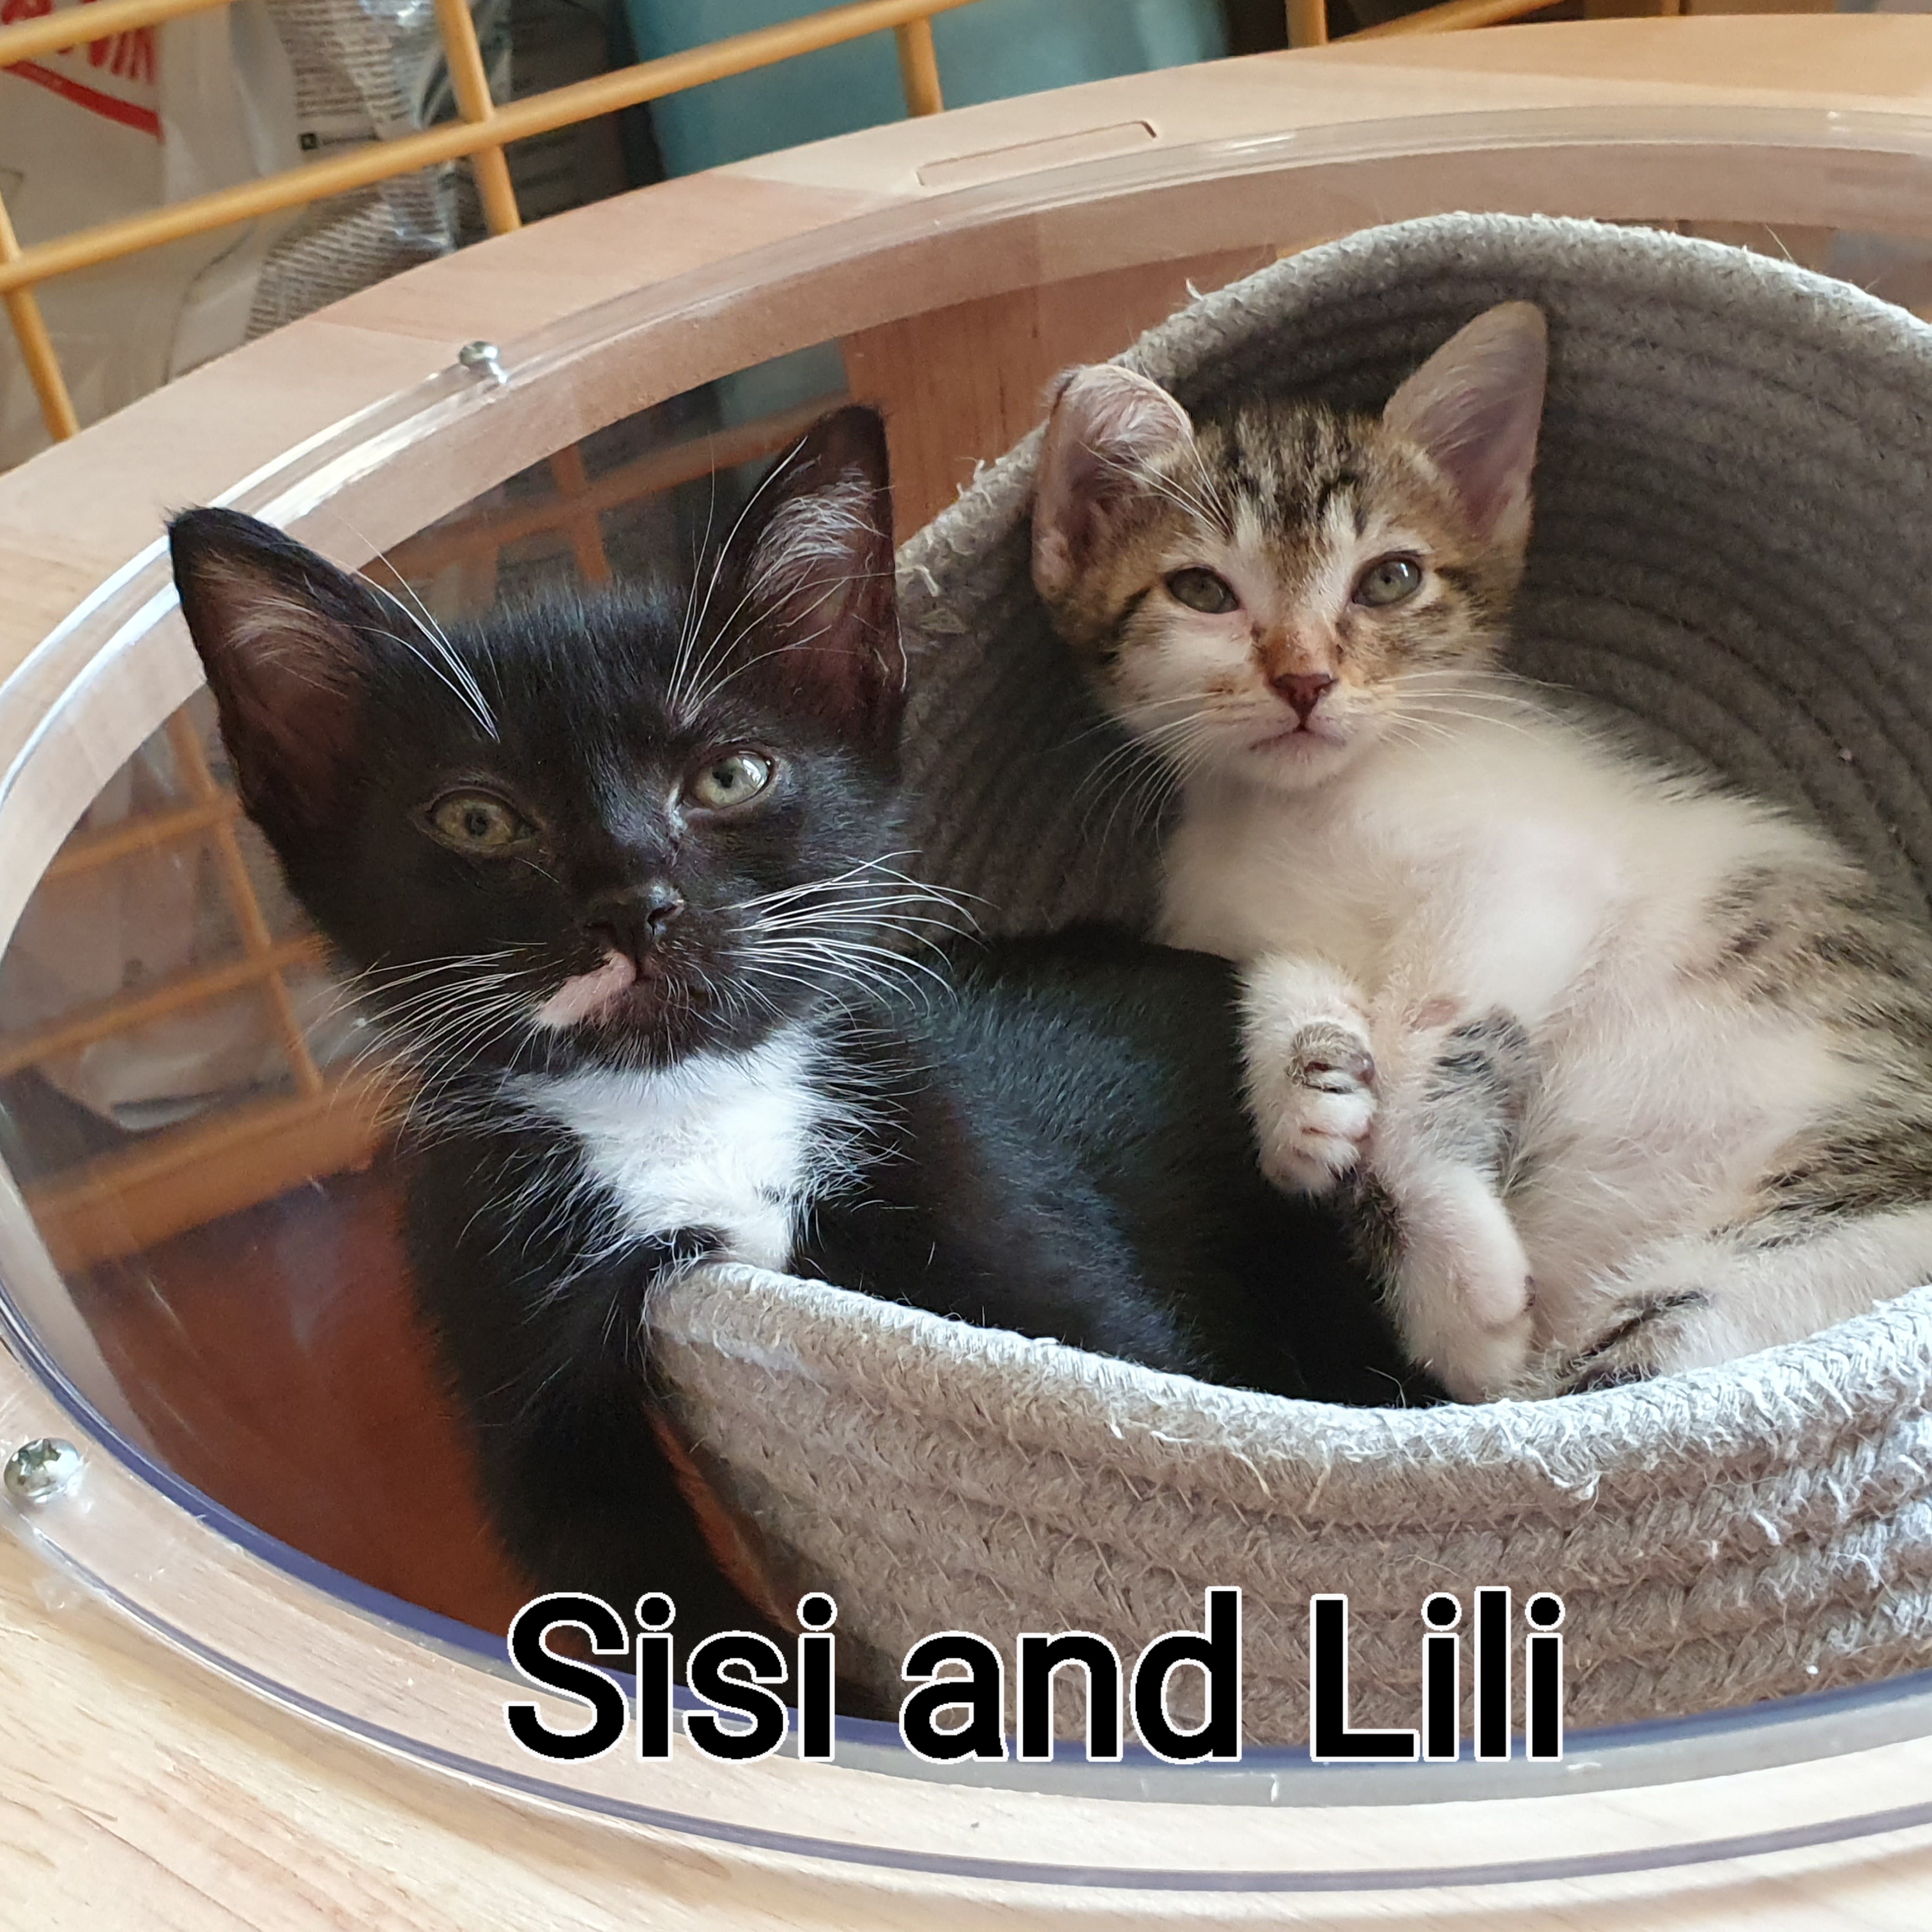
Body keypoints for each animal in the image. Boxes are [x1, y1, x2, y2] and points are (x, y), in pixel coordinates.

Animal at [168, 405, 1411, 1662]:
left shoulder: (981, 1182)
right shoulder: (499, 1292)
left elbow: (1127, 1376)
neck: (688, 1106)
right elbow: (608, 1566)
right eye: (476, 820)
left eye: (731, 774)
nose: (633, 905)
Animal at [1030, 301, 1932, 1404]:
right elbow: (1278, 975)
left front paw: (1457, 1288)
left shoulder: (1529, 867)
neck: (1301, 813)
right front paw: (1306, 1089)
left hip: (1764, 1261)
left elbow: (1434, 1037)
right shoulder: (1218, 926)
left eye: (1391, 579)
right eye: (1202, 591)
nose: (1305, 680)